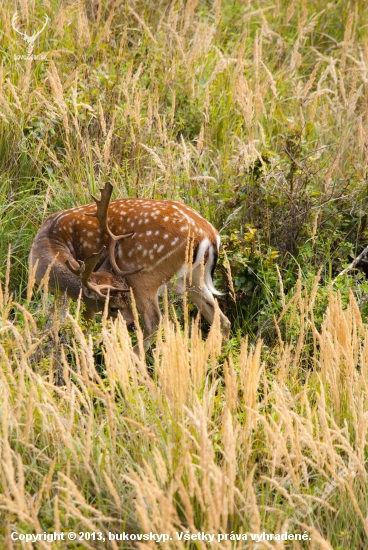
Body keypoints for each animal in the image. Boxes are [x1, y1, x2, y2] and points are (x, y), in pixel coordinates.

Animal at [30, 183, 230, 352]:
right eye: (114, 307)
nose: (131, 325)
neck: (49, 241)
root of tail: (209, 235)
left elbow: (80, 325)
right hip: (193, 279)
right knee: (221, 319)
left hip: (144, 277)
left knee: (154, 322)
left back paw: (132, 360)